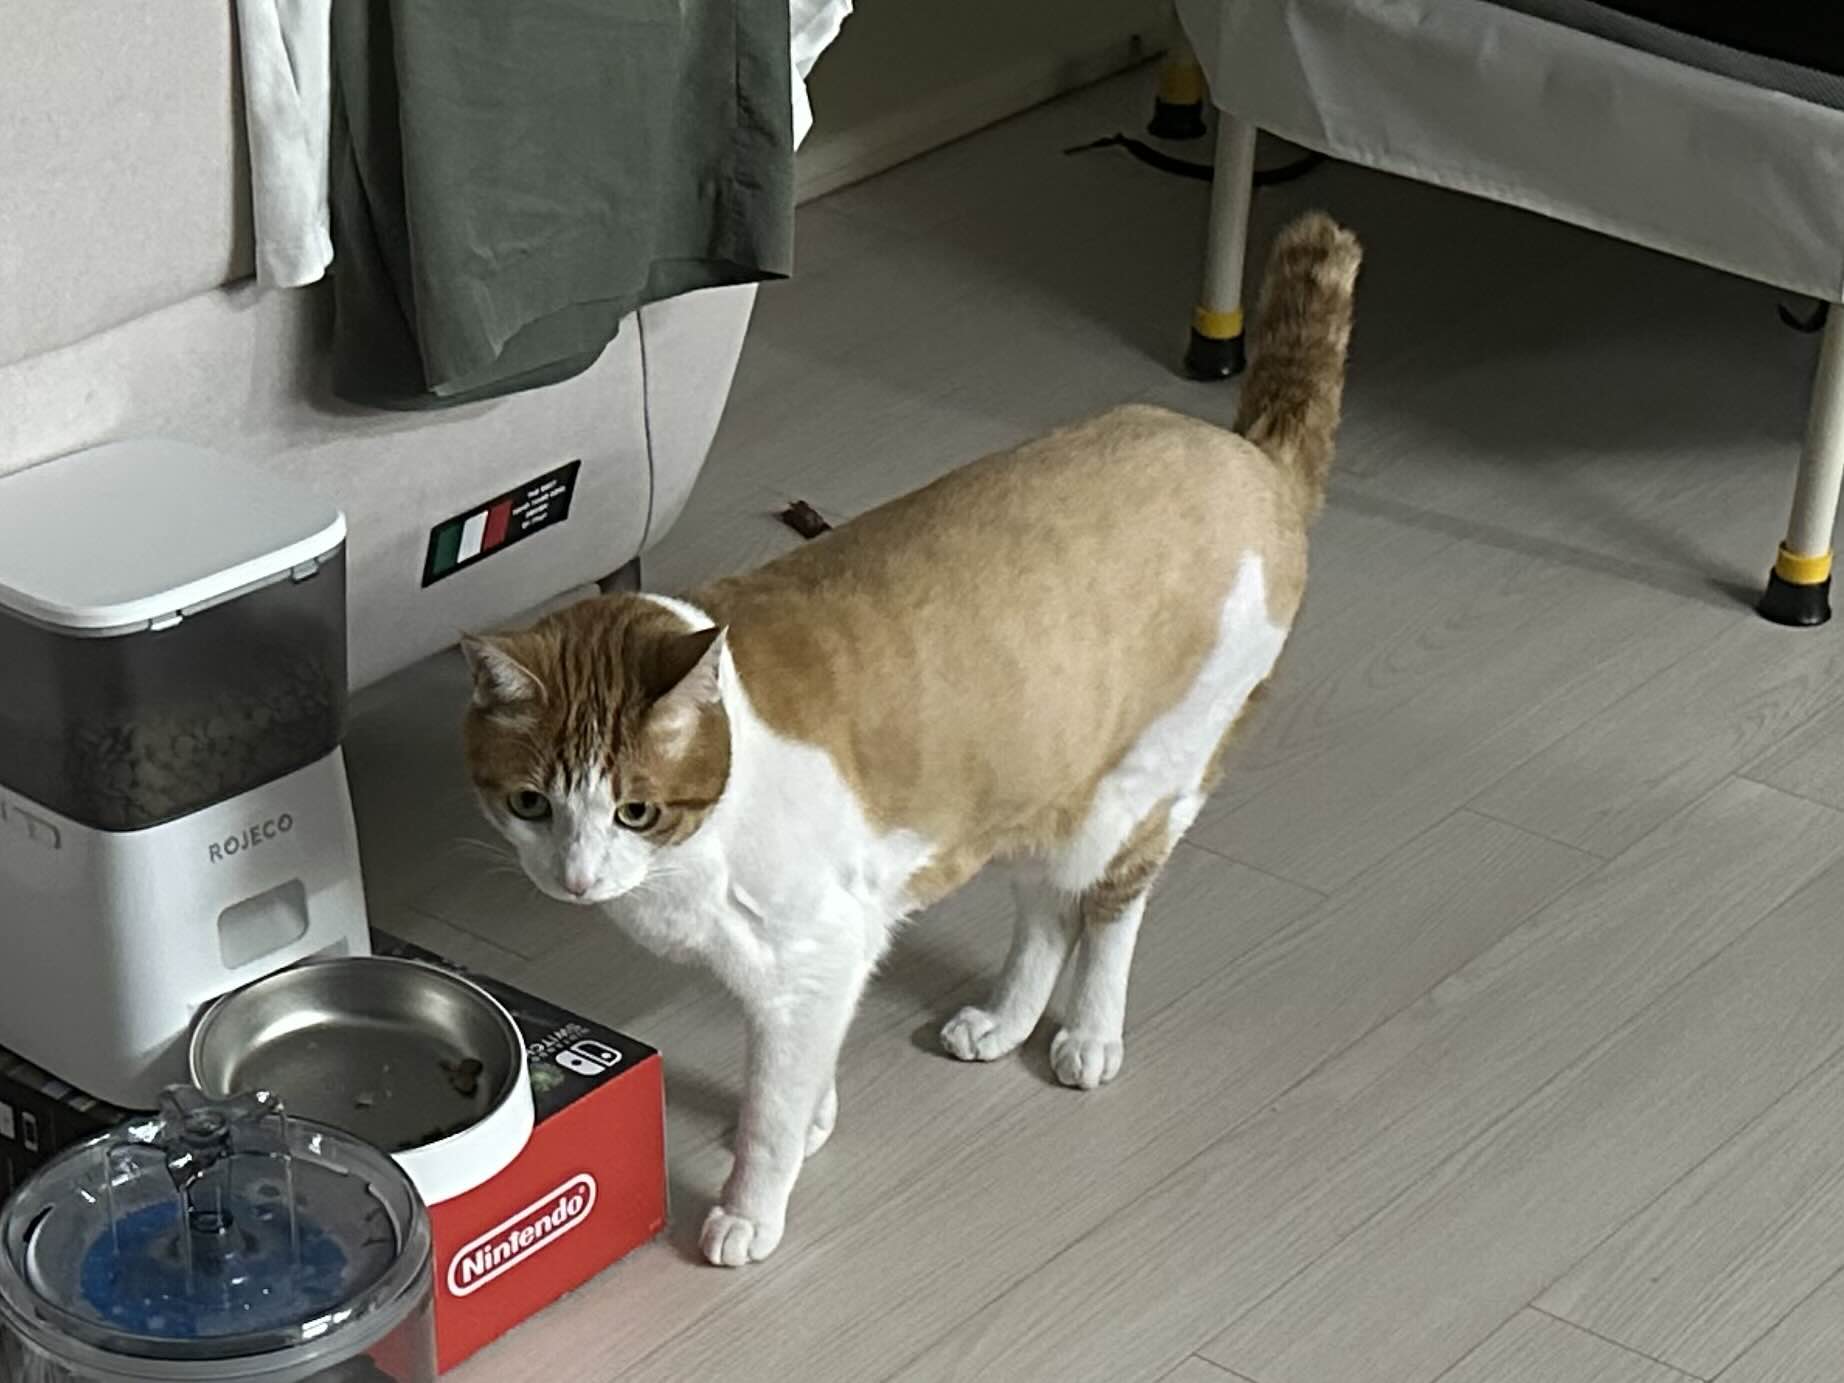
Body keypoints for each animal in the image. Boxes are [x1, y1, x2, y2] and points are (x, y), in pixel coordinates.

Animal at [461, 211, 1360, 1267]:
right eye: (531, 803)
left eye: (633, 809)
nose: (574, 878)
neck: (692, 856)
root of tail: (1246, 453)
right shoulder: (817, 965)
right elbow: (808, 1070)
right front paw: (818, 1119)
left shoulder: (813, 951)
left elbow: (771, 1105)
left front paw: (751, 1205)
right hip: (1040, 785)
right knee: (1047, 910)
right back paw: (1002, 1021)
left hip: (1139, 790)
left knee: (1107, 908)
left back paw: (1088, 1037)